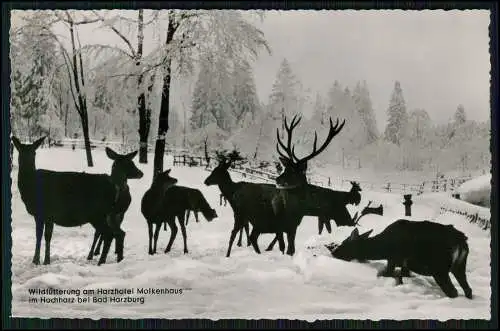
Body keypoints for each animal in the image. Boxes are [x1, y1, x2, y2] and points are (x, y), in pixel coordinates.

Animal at [11, 137, 144, 268]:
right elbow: (45, 236)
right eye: (20, 151)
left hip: (99, 214)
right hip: (109, 215)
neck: (31, 187)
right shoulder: (46, 216)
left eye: (34, 152)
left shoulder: (43, 213)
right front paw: (42, 260)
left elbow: (42, 236)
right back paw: (117, 259)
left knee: (109, 233)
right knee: (118, 233)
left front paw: (39, 261)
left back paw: (101, 261)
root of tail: (116, 187)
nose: (140, 173)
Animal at [272, 115, 346, 255]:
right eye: (285, 168)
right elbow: (289, 246)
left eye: (293, 171)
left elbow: (291, 246)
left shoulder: (294, 223)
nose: (277, 179)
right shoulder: (289, 224)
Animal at [324, 220, 472, 300]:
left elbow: (390, 274)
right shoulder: (404, 264)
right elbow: (403, 275)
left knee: (453, 291)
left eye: (344, 244)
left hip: (439, 268)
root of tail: (461, 241)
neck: (382, 248)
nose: (333, 252)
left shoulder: (393, 258)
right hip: (459, 266)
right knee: (468, 289)